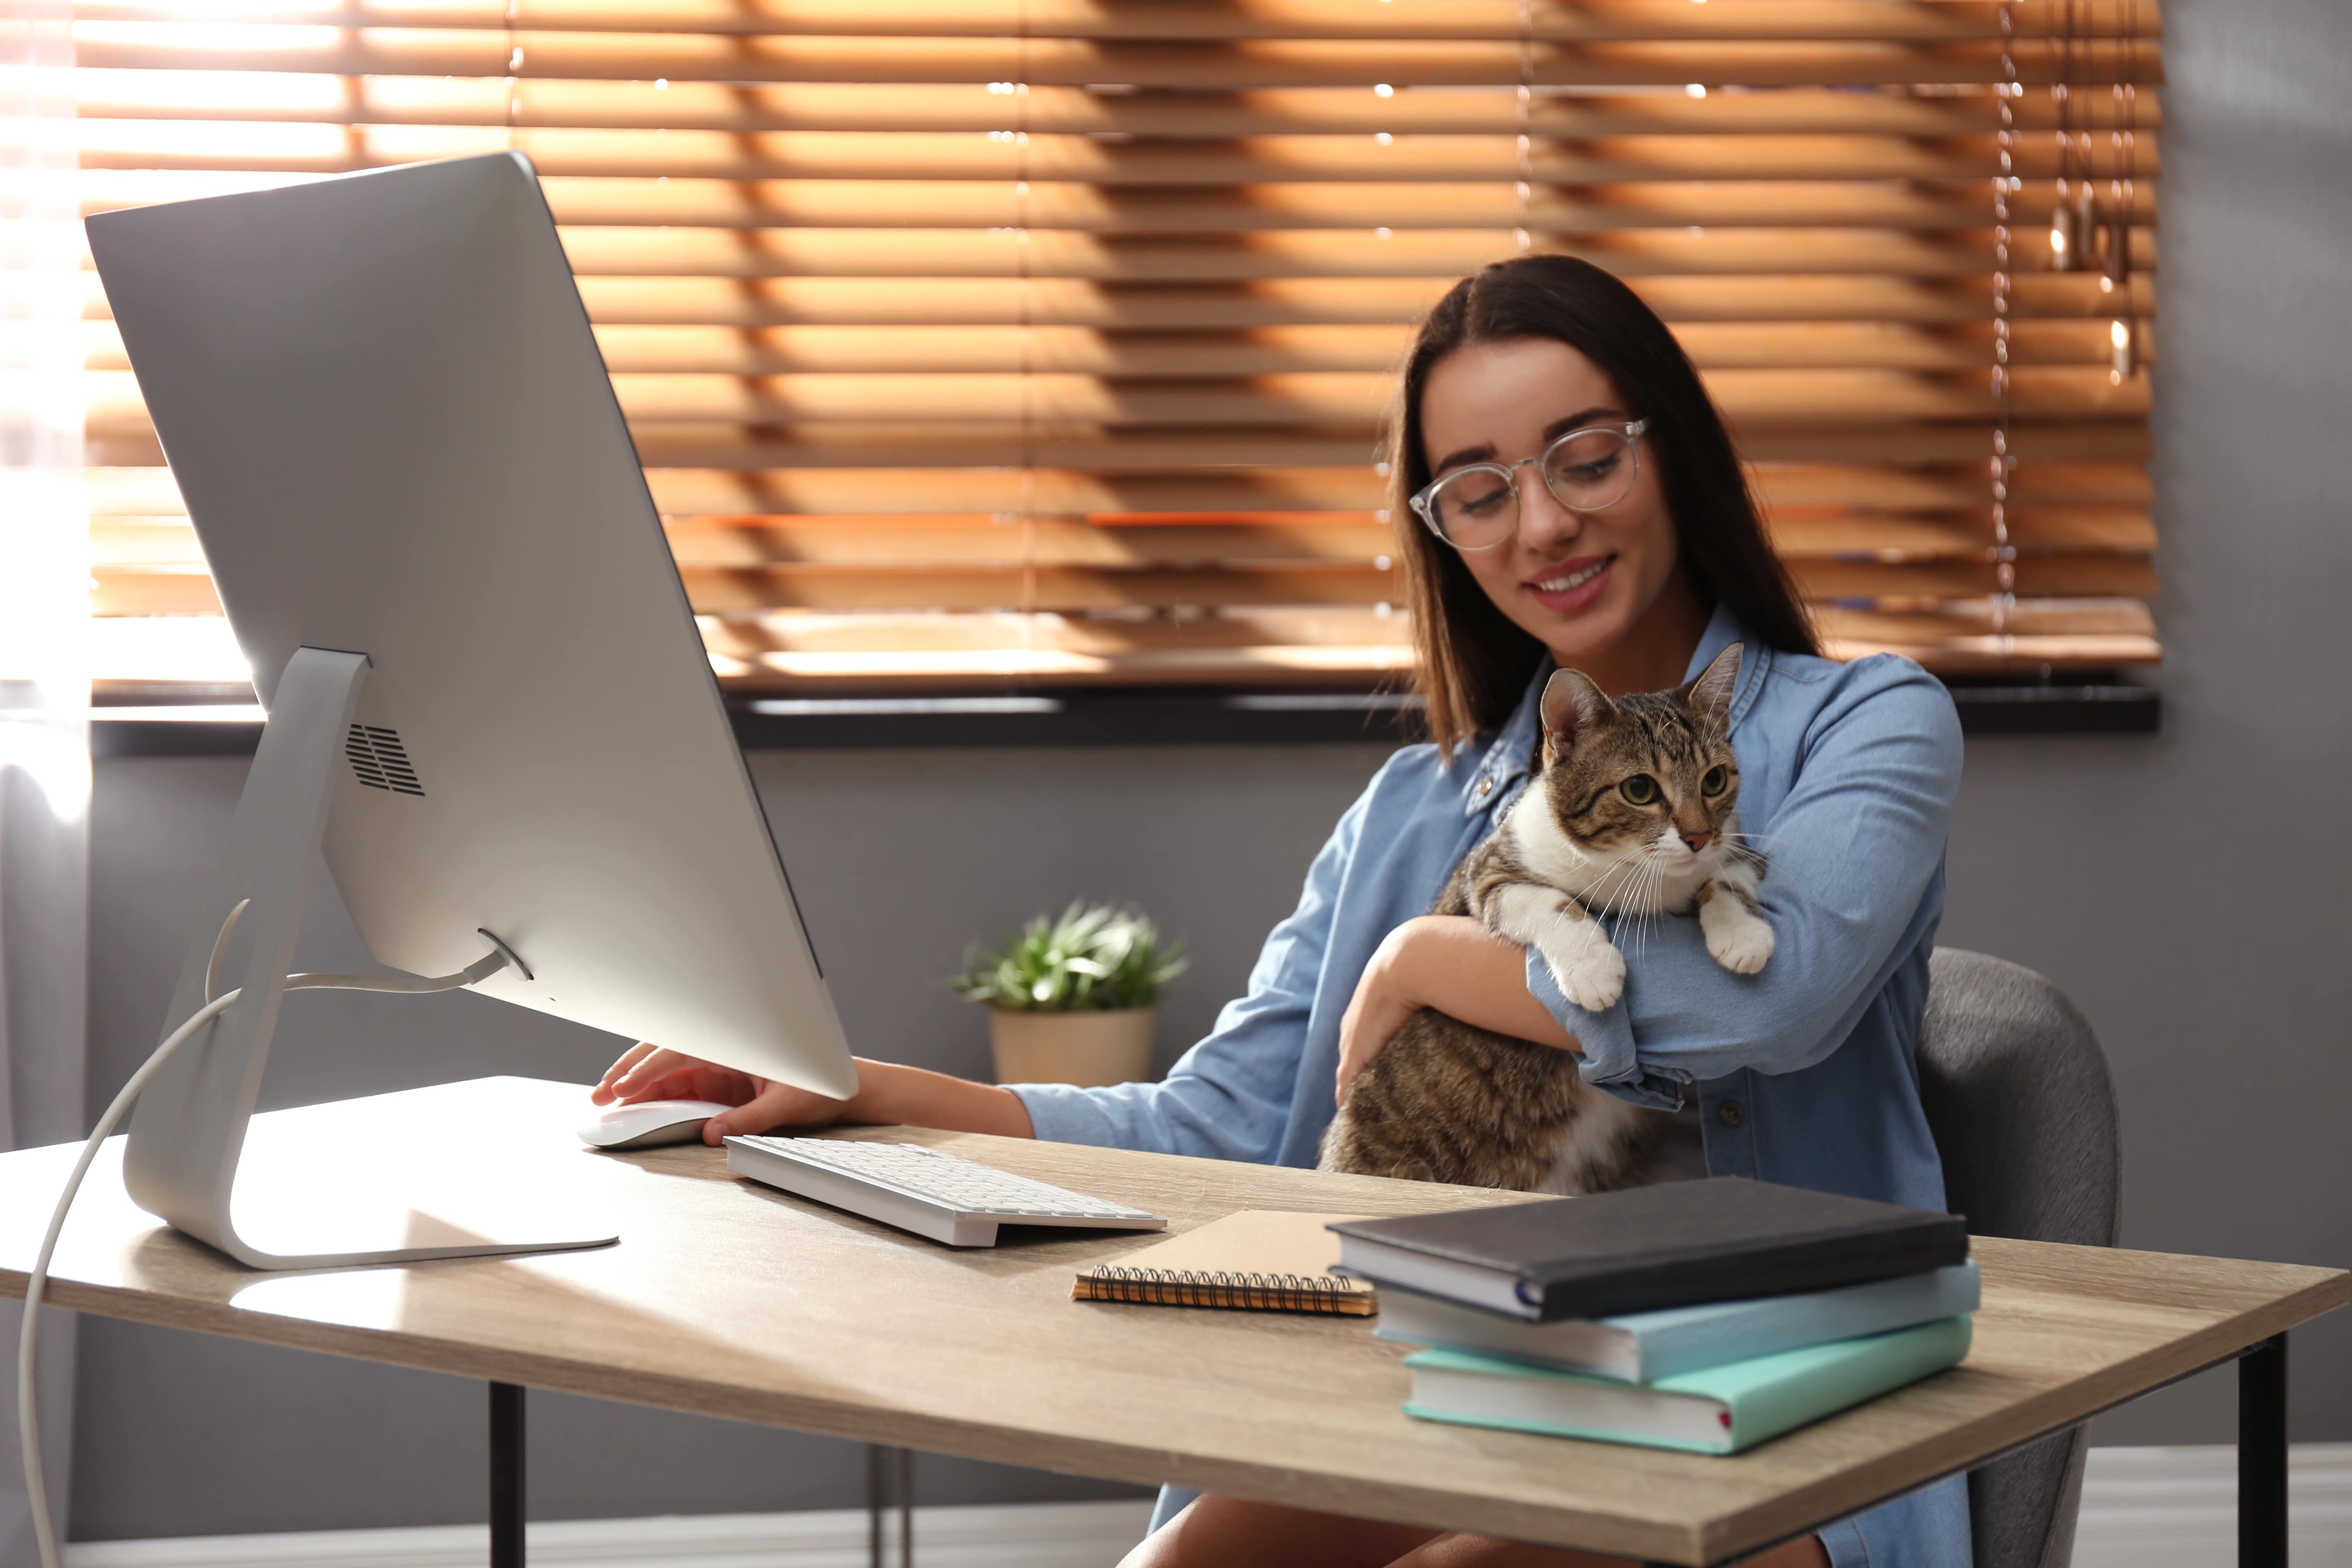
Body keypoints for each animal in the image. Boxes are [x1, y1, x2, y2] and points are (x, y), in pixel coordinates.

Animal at [1326, 644, 1768, 1194]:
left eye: (1715, 780)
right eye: (1640, 789)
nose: (1697, 837)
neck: (1636, 874)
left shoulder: (1734, 842)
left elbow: (1729, 875)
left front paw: (1743, 934)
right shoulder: (1489, 872)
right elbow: (1548, 902)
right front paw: (1593, 970)